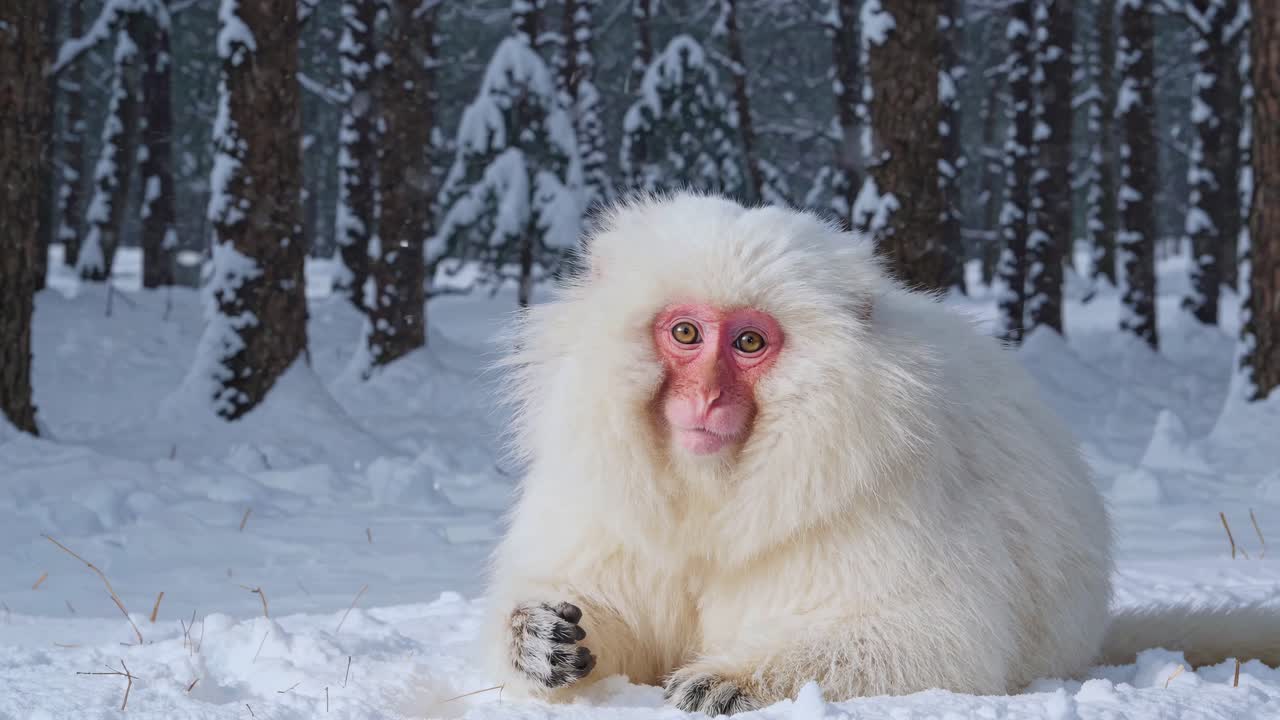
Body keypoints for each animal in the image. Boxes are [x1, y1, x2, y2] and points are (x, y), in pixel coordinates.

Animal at [479, 191, 1280, 715]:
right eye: (684, 334)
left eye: (748, 342)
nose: (704, 398)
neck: (718, 483)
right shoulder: (605, 498)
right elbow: (600, 615)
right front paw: (538, 640)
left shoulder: (887, 501)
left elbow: (933, 641)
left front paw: (742, 676)